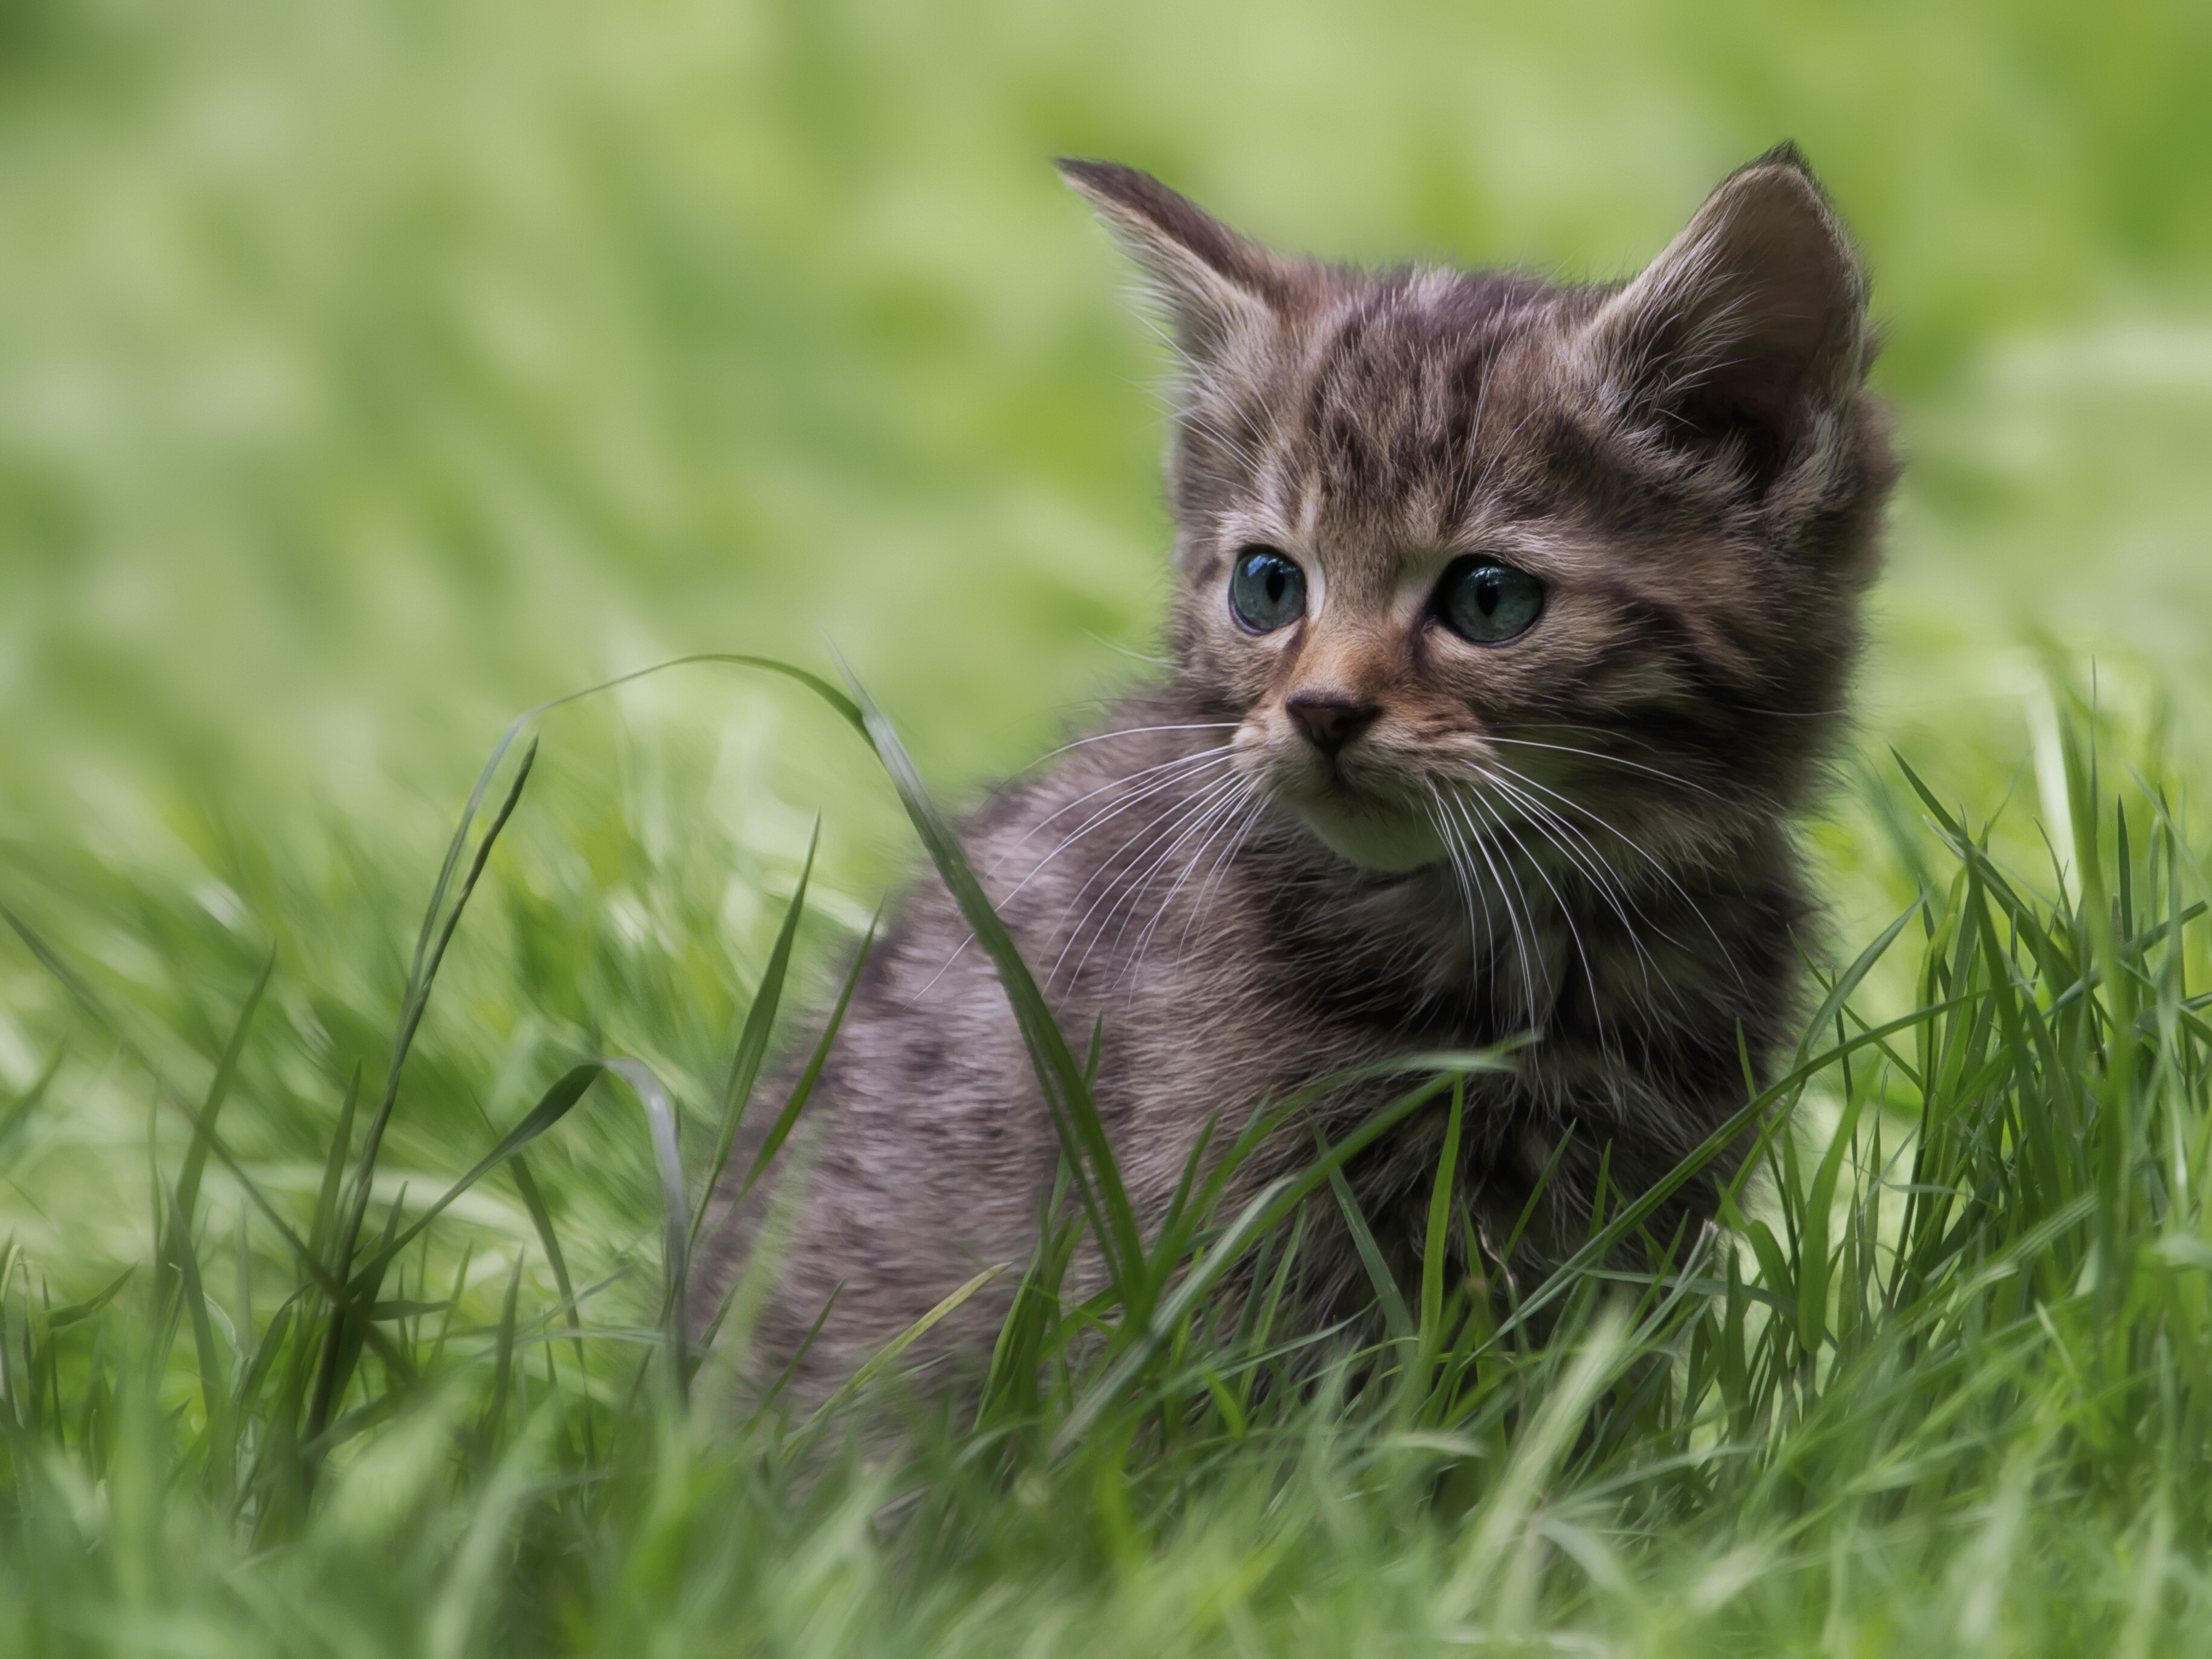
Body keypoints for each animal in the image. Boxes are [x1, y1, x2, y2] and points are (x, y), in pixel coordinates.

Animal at [694, 149, 1902, 1407]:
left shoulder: (1639, 1225)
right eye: (1268, 586)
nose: (1320, 708)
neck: (1510, 948)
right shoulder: (1187, 1233)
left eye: (1489, 598)